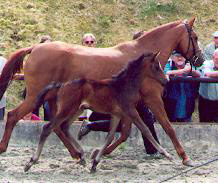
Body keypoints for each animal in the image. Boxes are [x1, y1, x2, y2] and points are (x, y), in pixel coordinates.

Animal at [0, 17, 203, 167]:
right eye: (195, 37)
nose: (200, 59)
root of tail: (35, 47)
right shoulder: (152, 99)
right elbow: (167, 127)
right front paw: (185, 158)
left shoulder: (129, 106)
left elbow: (125, 132)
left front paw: (98, 153)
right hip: (36, 97)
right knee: (13, 116)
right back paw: (4, 149)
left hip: (56, 100)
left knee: (56, 126)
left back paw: (77, 154)